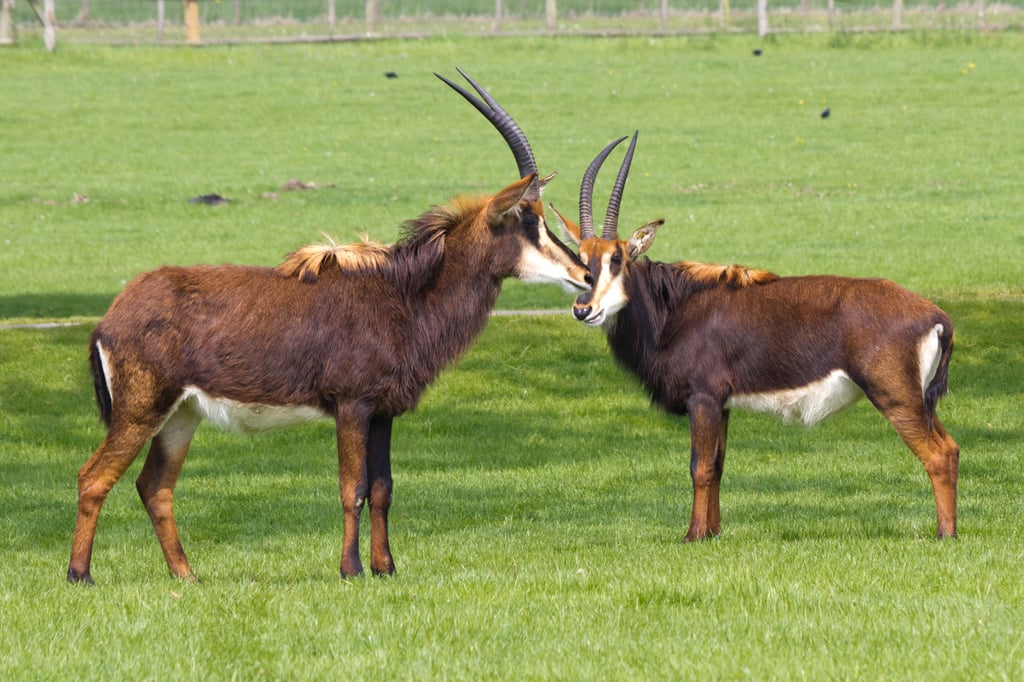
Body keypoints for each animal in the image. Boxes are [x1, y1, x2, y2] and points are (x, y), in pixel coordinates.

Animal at [67, 70, 590, 584]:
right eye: (527, 220)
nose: (585, 274)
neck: (404, 294)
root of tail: (112, 318)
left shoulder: (383, 411)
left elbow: (382, 488)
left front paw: (386, 568)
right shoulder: (352, 405)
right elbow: (352, 487)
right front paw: (351, 569)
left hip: (181, 415)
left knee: (154, 486)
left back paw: (186, 577)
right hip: (141, 410)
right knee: (94, 476)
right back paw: (80, 575)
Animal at [552, 132, 959, 542]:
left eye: (618, 258)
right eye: (580, 257)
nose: (584, 309)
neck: (673, 308)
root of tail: (936, 316)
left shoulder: (703, 398)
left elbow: (699, 466)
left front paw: (693, 535)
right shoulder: (723, 405)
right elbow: (718, 464)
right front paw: (713, 532)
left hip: (896, 397)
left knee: (937, 455)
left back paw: (945, 534)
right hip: (921, 402)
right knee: (952, 448)